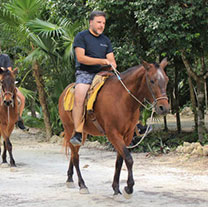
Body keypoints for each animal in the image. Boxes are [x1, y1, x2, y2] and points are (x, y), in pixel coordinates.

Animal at [58, 57, 169, 198]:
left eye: (166, 80)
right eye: (152, 81)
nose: (164, 108)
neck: (122, 99)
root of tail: (65, 91)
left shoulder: (127, 135)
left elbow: (120, 161)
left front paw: (116, 188)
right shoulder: (113, 134)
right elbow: (129, 159)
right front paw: (129, 188)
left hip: (83, 133)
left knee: (73, 154)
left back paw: (70, 178)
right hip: (69, 129)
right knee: (75, 157)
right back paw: (82, 185)